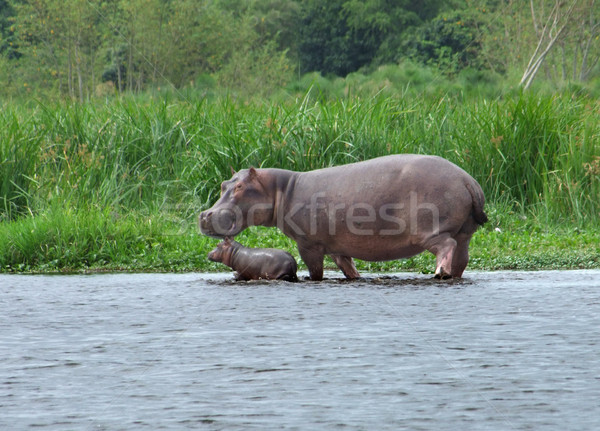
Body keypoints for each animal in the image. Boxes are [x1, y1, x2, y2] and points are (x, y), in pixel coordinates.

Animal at [199, 154, 486, 280]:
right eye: (224, 184)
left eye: (239, 187)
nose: (205, 215)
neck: (281, 189)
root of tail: (468, 179)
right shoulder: (338, 246)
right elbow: (347, 267)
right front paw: (357, 278)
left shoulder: (309, 244)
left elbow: (315, 271)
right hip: (466, 231)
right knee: (462, 256)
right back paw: (453, 275)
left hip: (431, 230)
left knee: (445, 246)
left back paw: (439, 274)